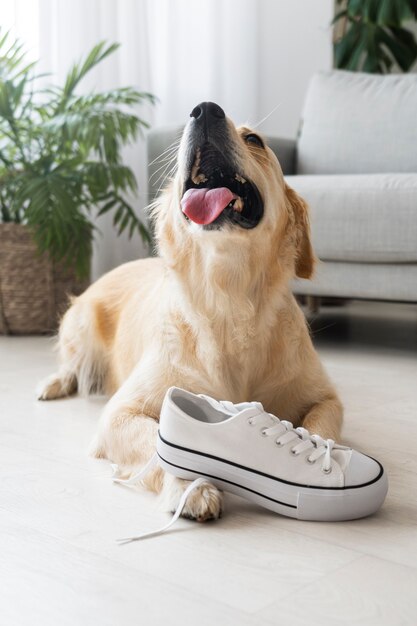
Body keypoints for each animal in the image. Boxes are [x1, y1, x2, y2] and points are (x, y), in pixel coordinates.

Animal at [36, 101, 342, 516]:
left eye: (254, 139)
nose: (205, 111)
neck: (229, 299)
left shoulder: (325, 398)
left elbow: (320, 428)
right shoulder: (120, 412)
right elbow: (158, 440)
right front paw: (188, 486)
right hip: (77, 322)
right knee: (70, 365)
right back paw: (54, 384)